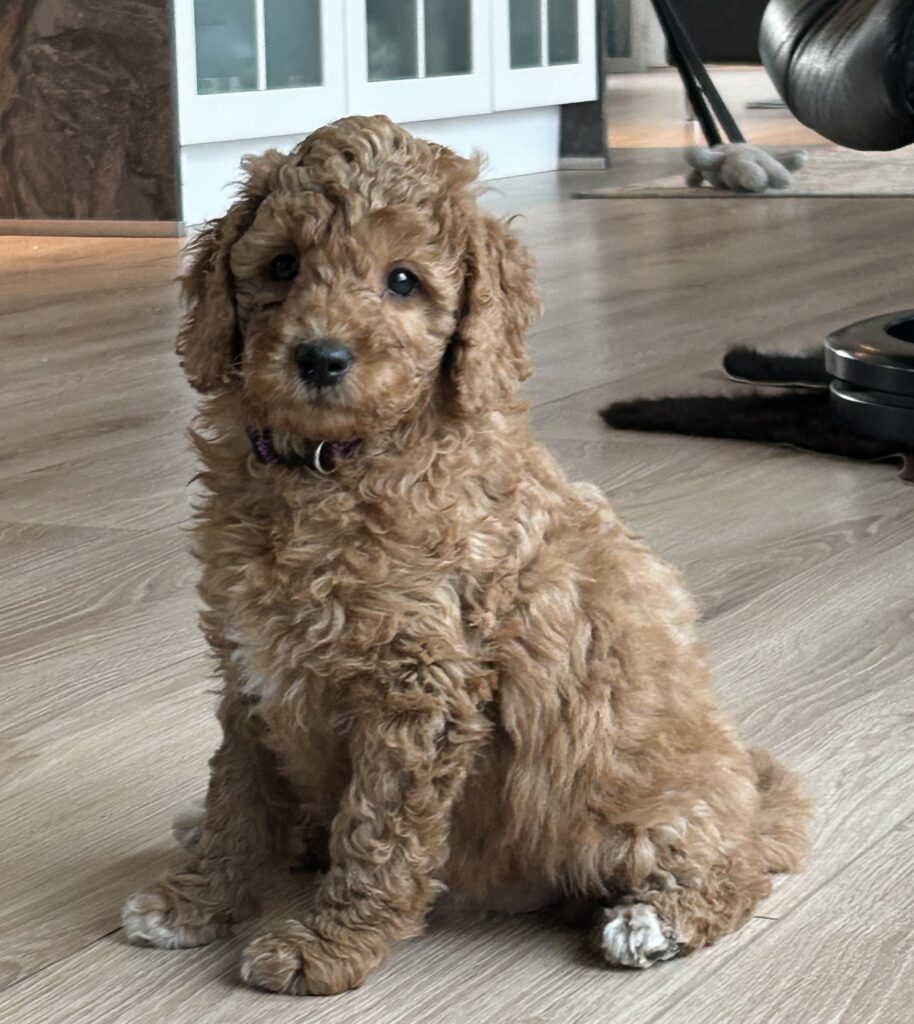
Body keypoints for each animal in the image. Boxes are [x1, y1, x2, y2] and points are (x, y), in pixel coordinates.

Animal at [122, 115, 810, 995]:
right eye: (282, 266)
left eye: (403, 281)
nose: (320, 357)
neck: (330, 469)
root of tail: (751, 793)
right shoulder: (251, 667)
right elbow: (237, 794)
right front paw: (197, 899)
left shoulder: (420, 688)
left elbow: (379, 831)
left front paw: (328, 945)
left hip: (634, 812)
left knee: (736, 868)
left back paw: (655, 921)